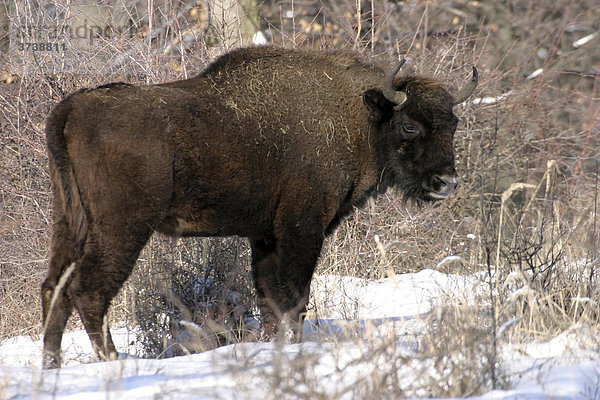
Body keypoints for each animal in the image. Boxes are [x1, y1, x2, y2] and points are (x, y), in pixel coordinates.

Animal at [41, 44, 478, 368]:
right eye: (409, 125)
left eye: (453, 124)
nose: (447, 182)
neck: (360, 116)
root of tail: (71, 108)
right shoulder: (302, 228)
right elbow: (295, 296)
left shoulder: (265, 236)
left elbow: (271, 299)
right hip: (122, 228)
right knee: (88, 291)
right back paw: (112, 362)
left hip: (69, 220)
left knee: (53, 289)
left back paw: (51, 366)